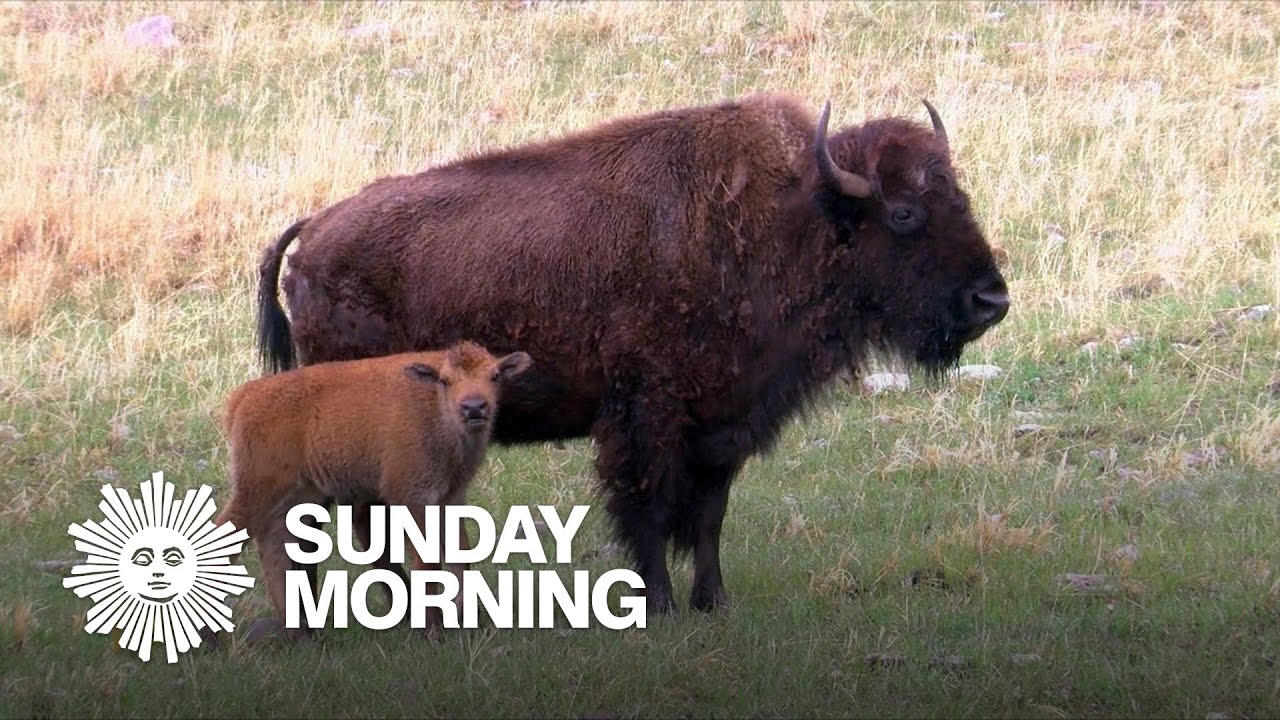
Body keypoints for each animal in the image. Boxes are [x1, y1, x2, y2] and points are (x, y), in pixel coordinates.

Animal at [255, 94, 1009, 613]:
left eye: (960, 197)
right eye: (905, 213)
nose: (991, 300)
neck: (793, 219)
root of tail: (314, 232)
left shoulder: (722, 422)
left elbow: (708, 515)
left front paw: (714, 603)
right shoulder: (647, 415)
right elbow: (647, 507)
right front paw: (663, 606)